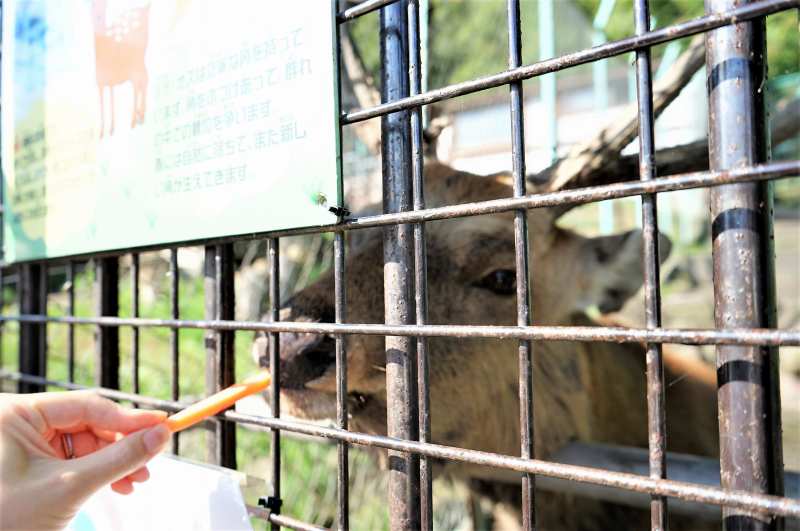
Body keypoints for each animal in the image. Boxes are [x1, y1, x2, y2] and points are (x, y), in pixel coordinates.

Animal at [92, 0, 152, 137]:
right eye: (93, 6)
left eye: (102, 7)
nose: (98, 18)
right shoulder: (103, 84)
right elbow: (106, 103)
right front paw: (105, 131)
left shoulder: (107, 83)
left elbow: (109, 103)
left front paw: (108, 130)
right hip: (139, 70)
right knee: (143, 84)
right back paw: (140, 115)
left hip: (136, 71)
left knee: (139, 86)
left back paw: (135, 120)